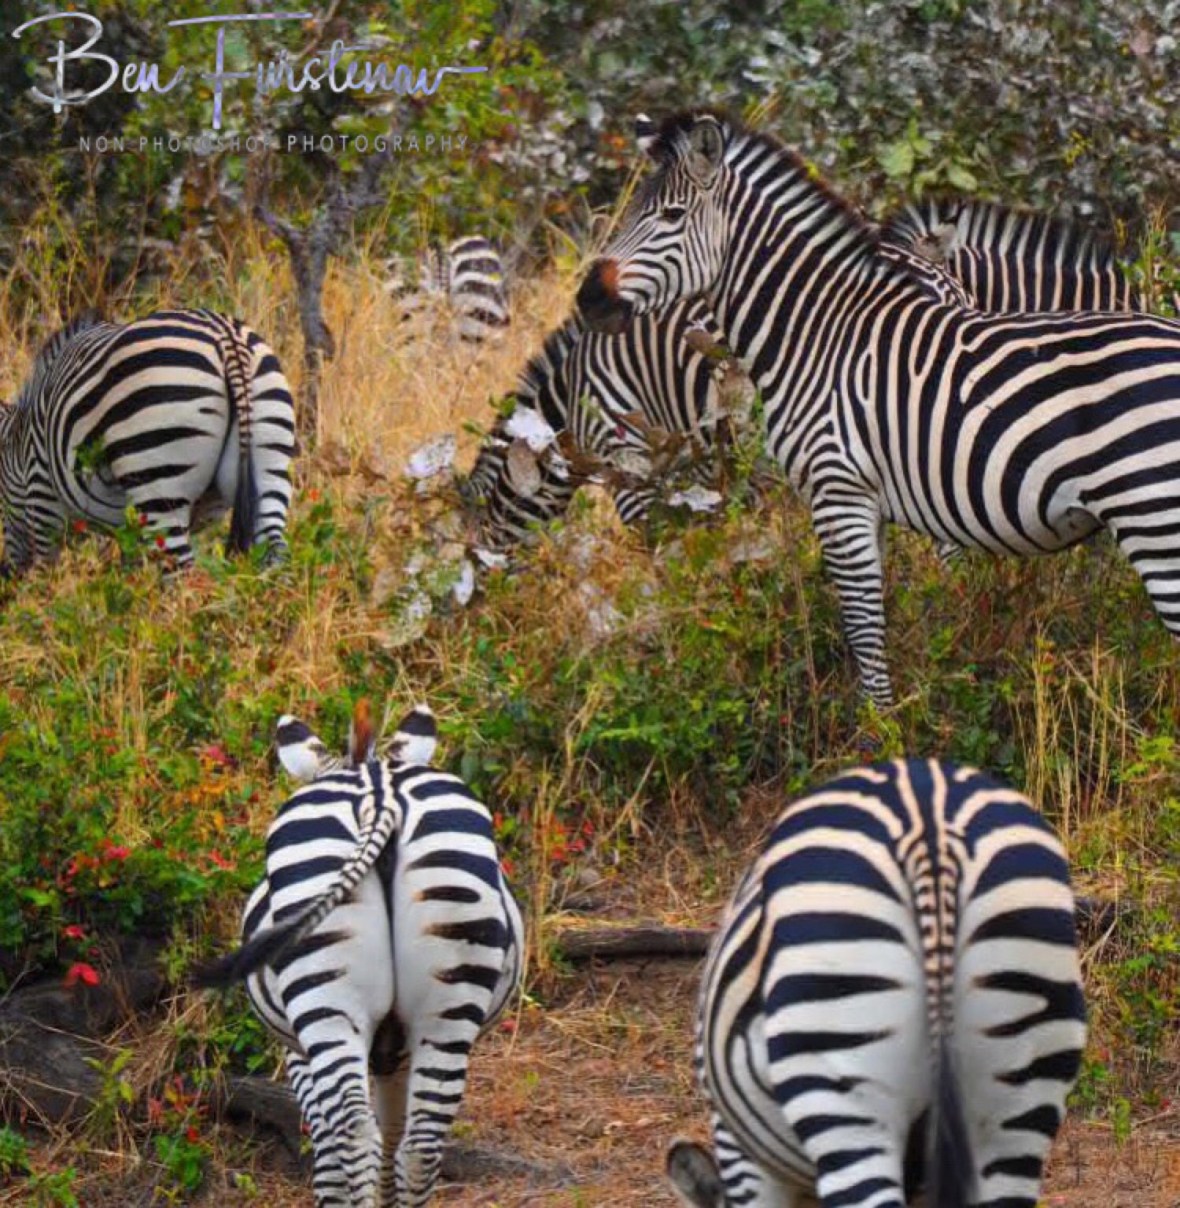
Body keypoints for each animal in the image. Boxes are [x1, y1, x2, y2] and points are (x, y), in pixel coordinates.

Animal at [0, 309, 294, 577]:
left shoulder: (42, 496)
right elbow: (130, 571)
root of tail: (227, 338)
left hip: (158, 476)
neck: (19, 440)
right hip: (269, 461)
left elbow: (46, 575)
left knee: (182, 573)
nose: (10, 574)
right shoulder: (131, 525)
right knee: (274, 551)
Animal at [195, 699, 523, 1207]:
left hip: (325, 1001)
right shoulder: (397, 1051)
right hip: (448, 991)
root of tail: (379, 793)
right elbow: (393, 1133)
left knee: (353, 1135)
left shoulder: (297, 1053)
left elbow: (331, 1154)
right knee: (420, 1144)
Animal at [576, 110, 1180, 707]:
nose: (587, 298)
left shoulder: (838, 491)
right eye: (630, 211)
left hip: (1155, 521)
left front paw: (880, 724)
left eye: (671, 215)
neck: (816, 337)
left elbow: (864, 628)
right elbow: (876, 614)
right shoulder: (868, 502)